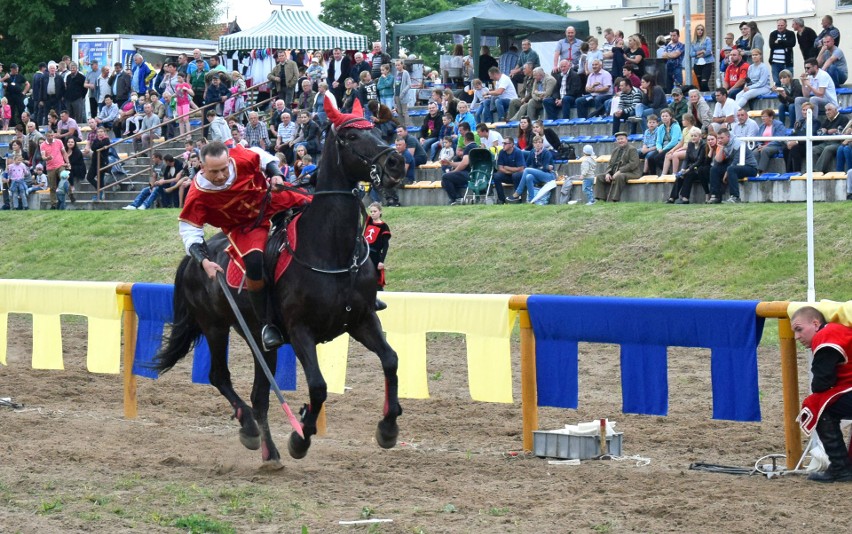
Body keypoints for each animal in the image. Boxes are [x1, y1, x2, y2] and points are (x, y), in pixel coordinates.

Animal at [155, 103, 408, 468]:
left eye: (375, 128)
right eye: (350, 136)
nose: (395, 162)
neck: (328, 248)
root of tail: (194, 259)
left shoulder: (361, 320)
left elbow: (390, 360)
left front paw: (388, 427)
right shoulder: (300, 330)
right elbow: (318, 386)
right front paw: (300, 437)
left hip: (261, 343)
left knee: (259, 395)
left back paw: (268, 451)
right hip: (217, 325)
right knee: (220, 376)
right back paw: (250, 430)